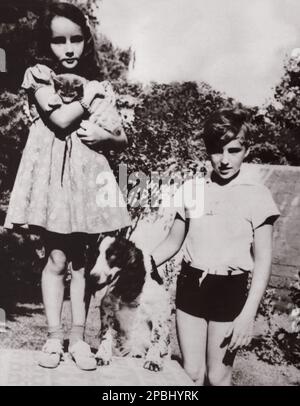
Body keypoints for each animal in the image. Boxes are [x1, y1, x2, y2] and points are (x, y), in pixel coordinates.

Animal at [89, 235, 171, 372]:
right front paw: (102, 355)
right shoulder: (107, 307)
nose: (92, 277)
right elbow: (106, 335)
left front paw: (153, 360)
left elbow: (156, 337)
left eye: (113, 256)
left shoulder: (158, 310)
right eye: (95, 255)